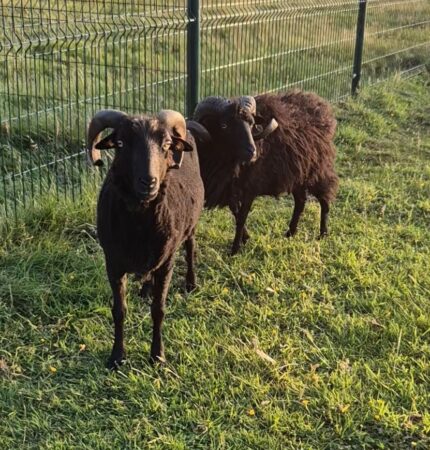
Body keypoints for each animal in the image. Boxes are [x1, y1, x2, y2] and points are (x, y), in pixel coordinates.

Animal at [87, 109, 204, 368]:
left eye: (167, 145)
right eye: (121, 143)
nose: (148, 182)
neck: (139, 226)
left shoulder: (167, 262)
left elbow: (158, 310)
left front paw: (157, 356)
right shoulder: (113, 262)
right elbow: (119, 311)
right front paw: (117, 357)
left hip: (190, 225)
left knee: (190, 248)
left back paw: (191, 283)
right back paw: (146, 288)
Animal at [189, 90, 338, 255]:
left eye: (251, 123)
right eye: (224, 125)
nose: (253, 153)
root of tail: (321, 107)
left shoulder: (250, 188)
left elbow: (241, 217)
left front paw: (235, 249)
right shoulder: (231, 190)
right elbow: (236, 213)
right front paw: (245, 239)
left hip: (317, 170)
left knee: (325, 199)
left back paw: (323, 234)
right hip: (297, 174)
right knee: (301, 201)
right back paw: (290, 233)